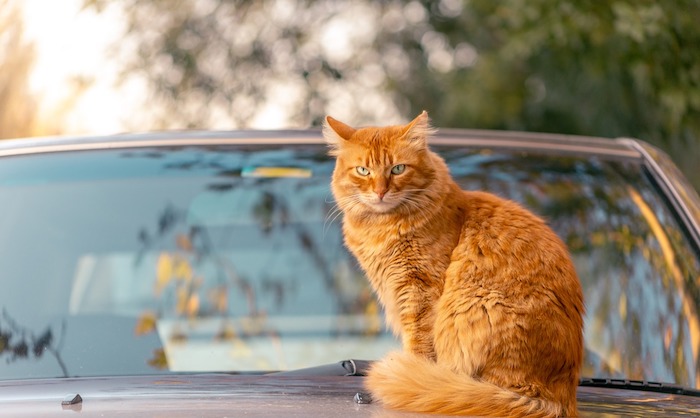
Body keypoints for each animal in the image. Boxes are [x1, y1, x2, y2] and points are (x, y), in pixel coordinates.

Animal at [324, 112, 584, 418]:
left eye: (398, 169)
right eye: (363, 171)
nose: (380, 193)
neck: (383, 227)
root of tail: (560, 399)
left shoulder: (419, 289)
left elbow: (419, 345)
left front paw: (413, 371)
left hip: (477, 306)